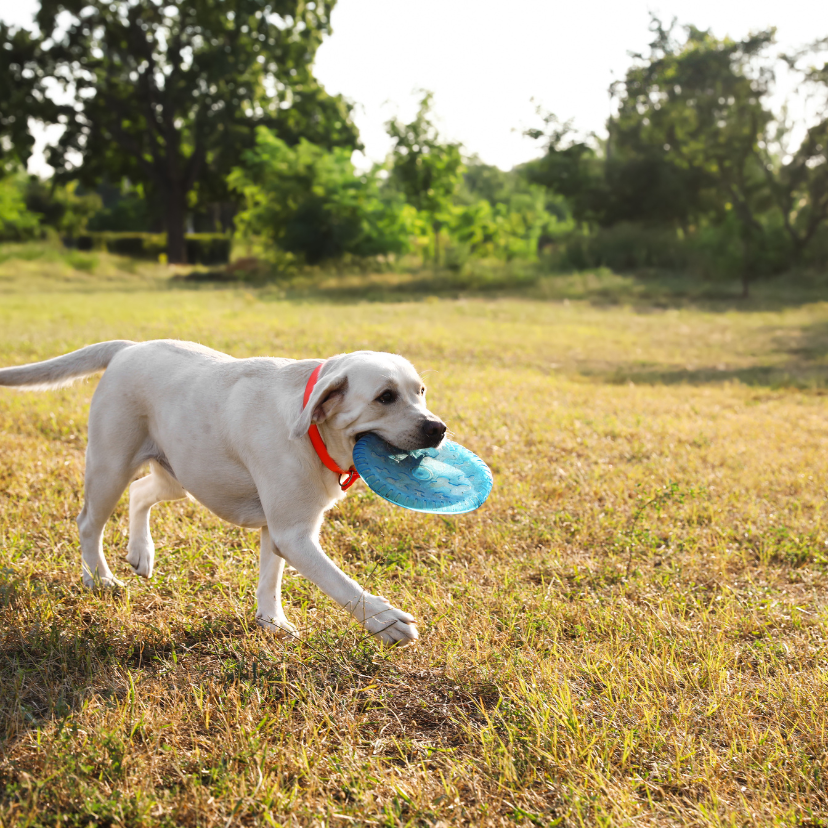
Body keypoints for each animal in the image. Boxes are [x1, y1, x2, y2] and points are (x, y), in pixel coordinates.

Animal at [0, 340, 446, 644]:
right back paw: (99, 578)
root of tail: (128, 347)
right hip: (110, 467)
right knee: (88, 523)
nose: (438, 428)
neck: (313, 431)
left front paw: (271, 622)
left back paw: (141, 552)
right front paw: (384, 618)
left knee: (141, 493)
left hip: (178, 475)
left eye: (421, 391)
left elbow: (270, 579)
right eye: (384, 397)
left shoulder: (278, 530)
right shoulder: (294, 535)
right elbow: (339, 582)